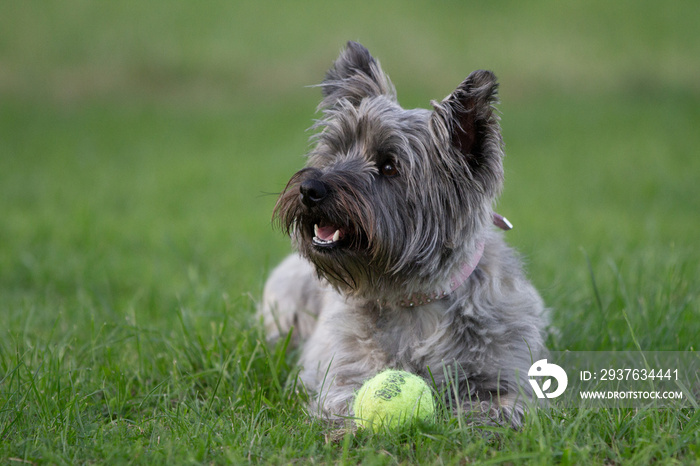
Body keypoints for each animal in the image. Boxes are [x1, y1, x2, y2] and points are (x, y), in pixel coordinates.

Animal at [258, 41, 548, 428]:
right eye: (336, 150)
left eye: (389, 166)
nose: (309, 188)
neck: (415, 300)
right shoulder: (343, 373)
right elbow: (345, 400)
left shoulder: (508, 375)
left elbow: (500, 405)